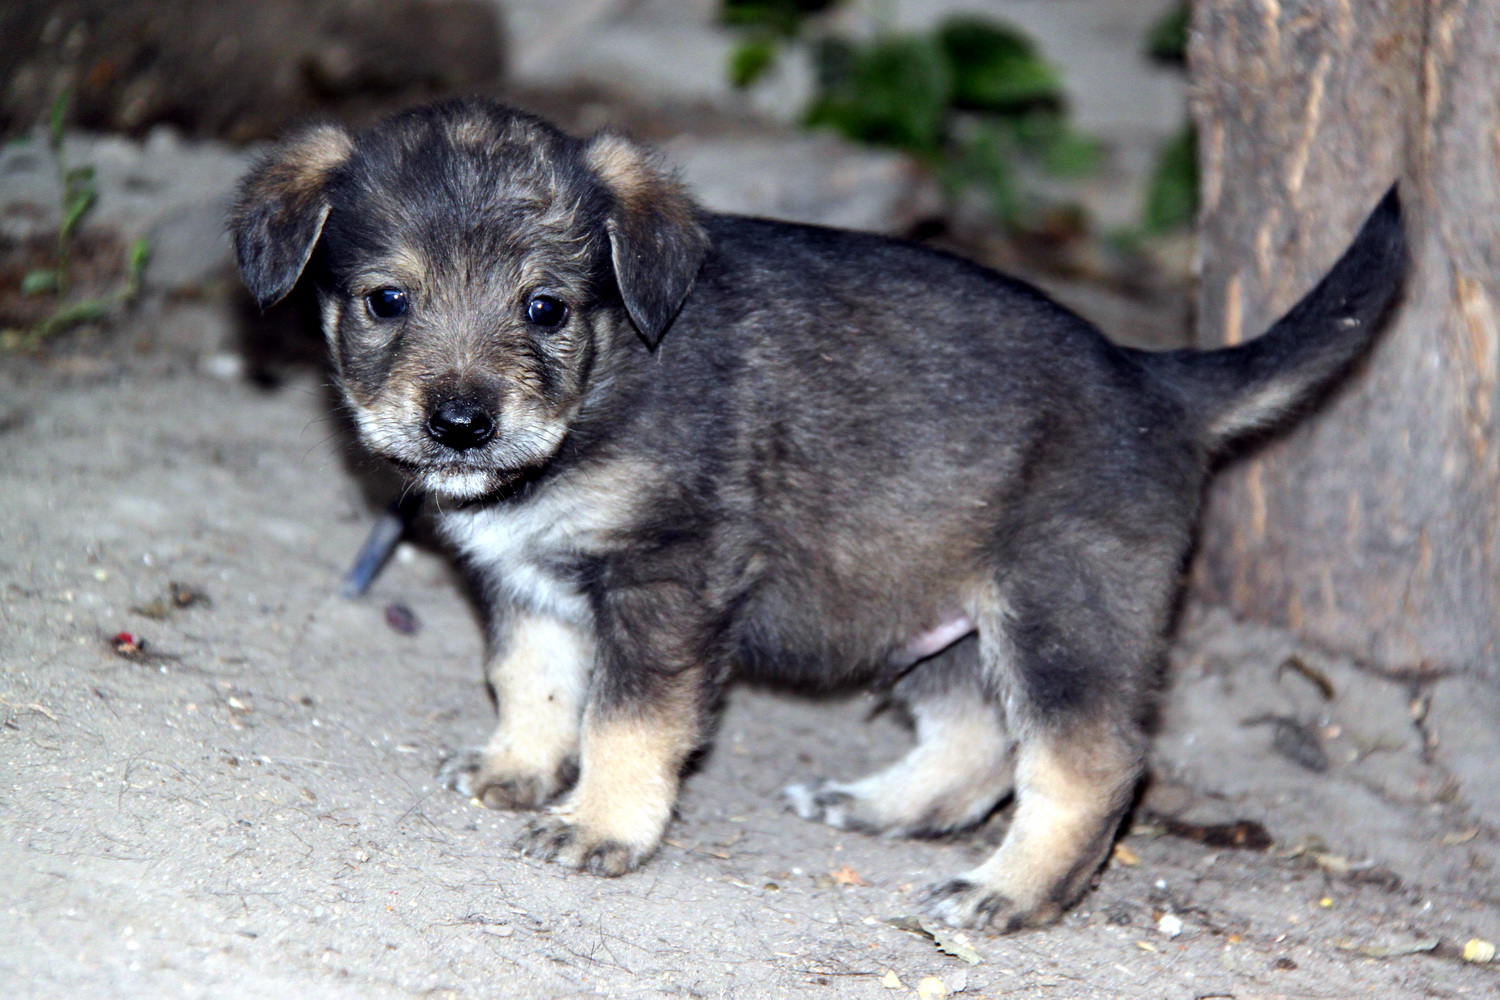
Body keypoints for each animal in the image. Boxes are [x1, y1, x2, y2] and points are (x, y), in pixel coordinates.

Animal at [228, 99, 1398, 929]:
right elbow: (534, 685)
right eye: (387, 301)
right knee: (980, 738)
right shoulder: (533, 585)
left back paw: (1010, 893)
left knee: (1089, 762)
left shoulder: (666, 580)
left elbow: (625, 720)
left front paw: (600, 824)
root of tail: (1157, 382)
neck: (611, 381)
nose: (464, 424)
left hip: (1063, 612)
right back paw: (879, 808)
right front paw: (515, 771)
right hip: (934, 613)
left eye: (545, 308)